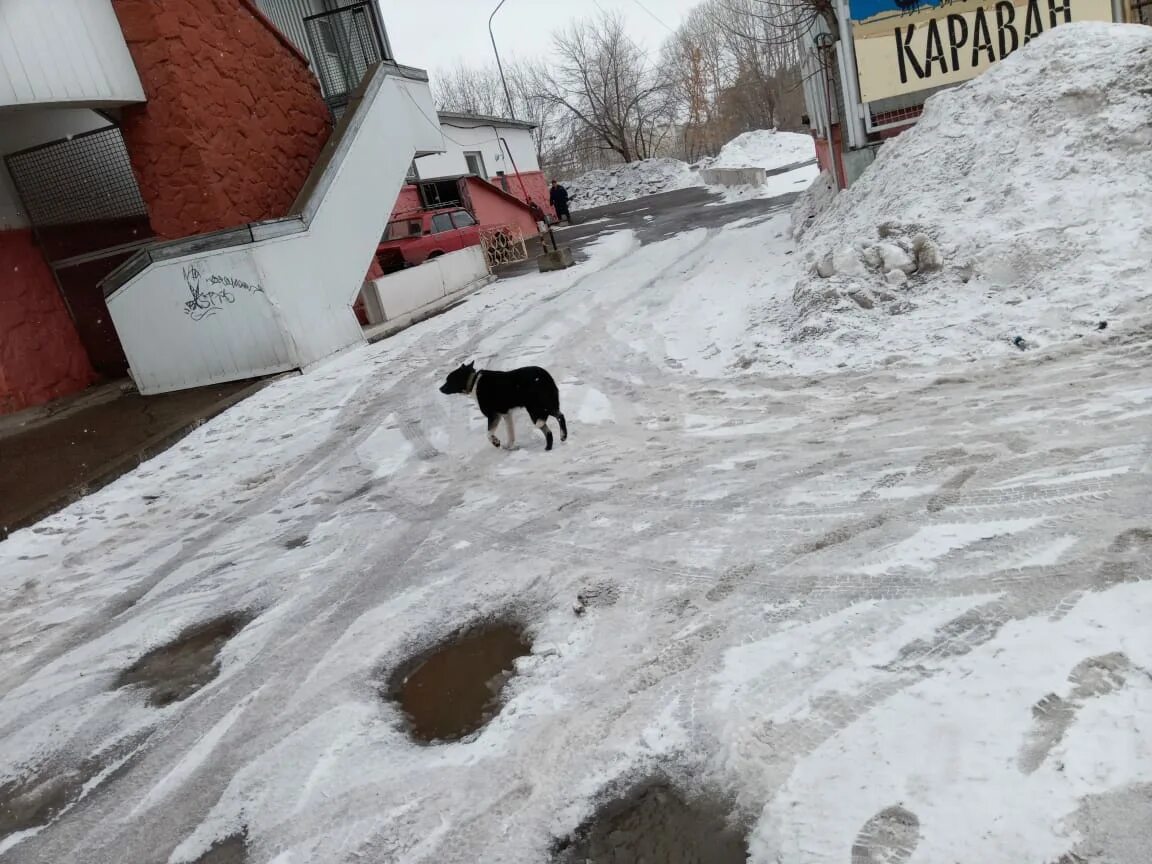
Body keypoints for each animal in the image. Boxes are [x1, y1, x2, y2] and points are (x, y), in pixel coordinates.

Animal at [437, 359, 569, 453]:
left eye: (448, 380)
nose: (440, 389)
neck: (473, 381)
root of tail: (544, 376)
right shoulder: (506, 414)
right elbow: (510, 433)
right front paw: (510, 446)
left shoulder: (494, 415)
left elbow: (488, 434)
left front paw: (496, 442)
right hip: (543, 406)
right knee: (553, 425)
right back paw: (551, 445)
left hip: (536, 408)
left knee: (556, 418)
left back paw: (561, 437)